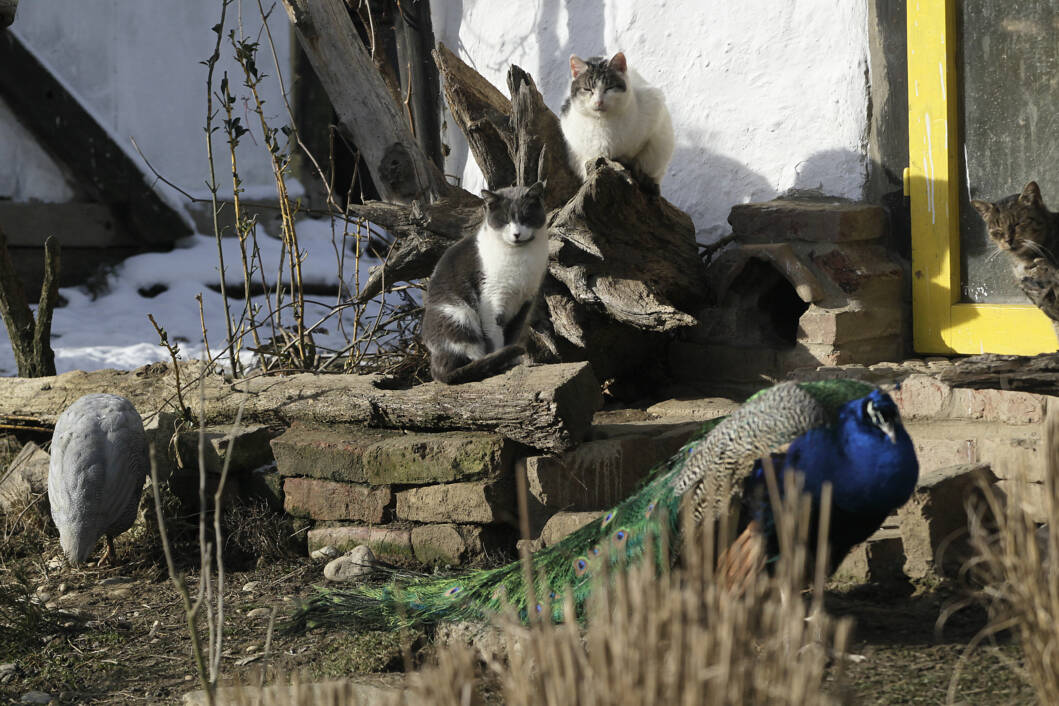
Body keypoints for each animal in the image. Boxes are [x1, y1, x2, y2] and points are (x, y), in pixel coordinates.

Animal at [419, 179, 550, 383]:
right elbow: (495, 339)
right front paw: (502, 361)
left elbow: (512, 335)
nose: (516, 234)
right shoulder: (491, 300)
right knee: (463, 358)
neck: (520, 255)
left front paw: (512, 360)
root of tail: (435, 369)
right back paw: (486, 367)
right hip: (460, 316)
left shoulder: (525, 302)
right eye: (505, 220)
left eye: (525, 218)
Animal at [559, 51, 673, 195]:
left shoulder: (655, 110)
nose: (599, 102)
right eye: (588, 89)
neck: (603, 124)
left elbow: (640, 154)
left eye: (609, 88)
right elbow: (587, 157)